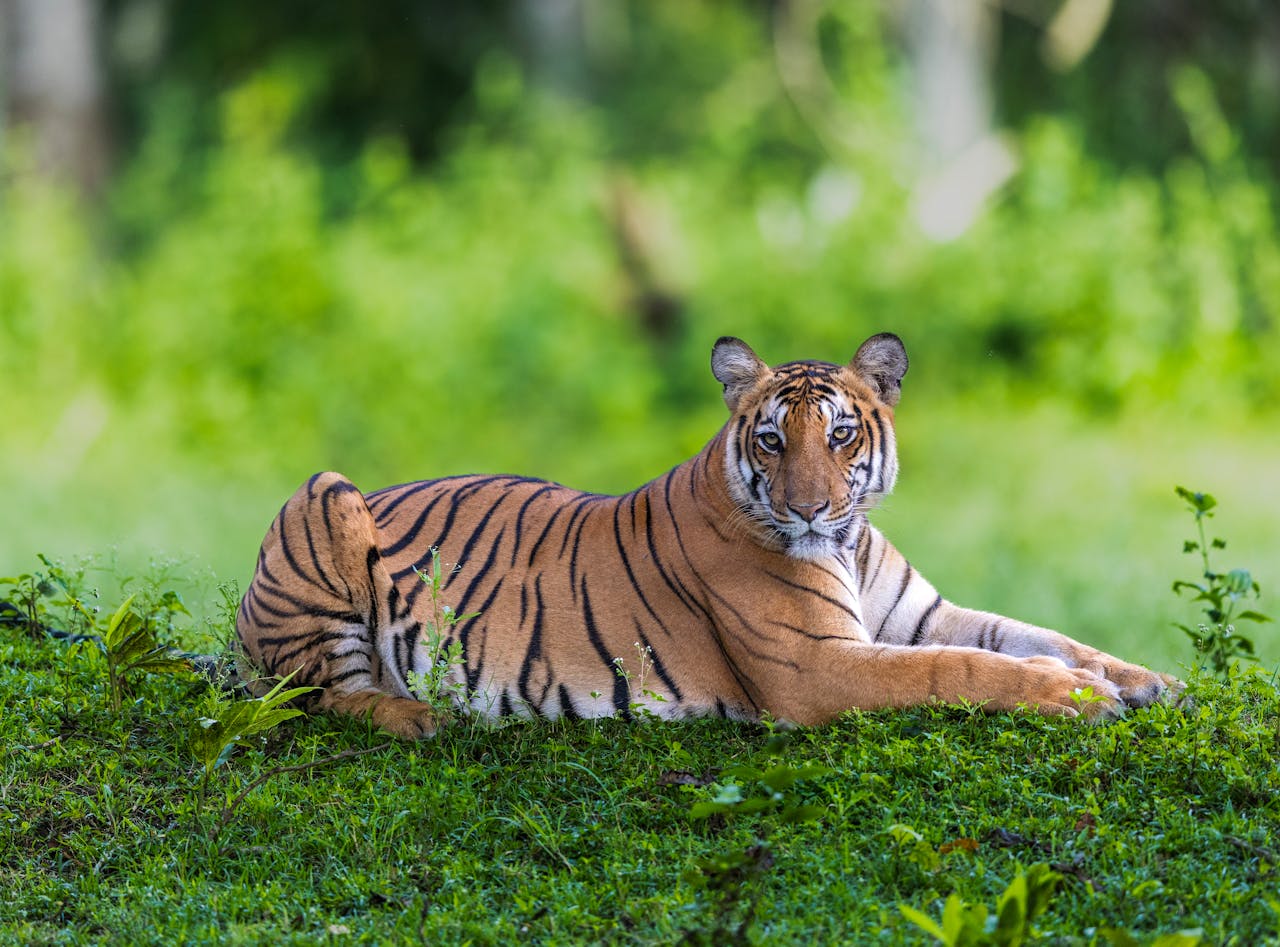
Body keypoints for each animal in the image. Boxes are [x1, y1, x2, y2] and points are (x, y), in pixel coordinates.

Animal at [235, 332, 1179, 738]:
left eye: (841, 435)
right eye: (772, 440)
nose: (810, 509)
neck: (848, 540)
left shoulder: (918, 615)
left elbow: (1035, 634)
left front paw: (1146, 679)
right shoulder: (819, 666)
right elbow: (964, 668)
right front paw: (1076, 694)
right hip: (323, 496)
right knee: (325, 693)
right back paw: (424, 714)